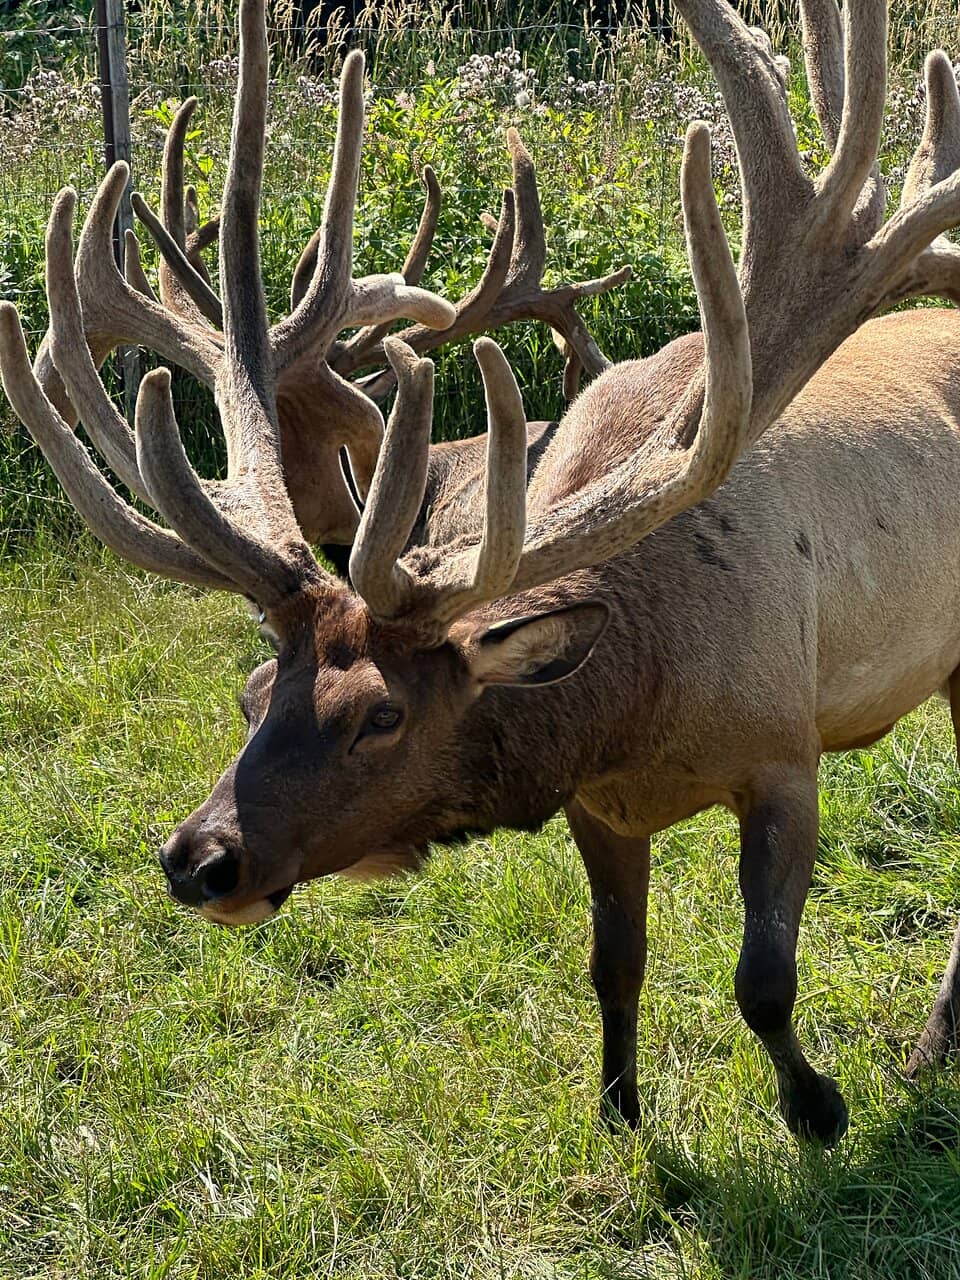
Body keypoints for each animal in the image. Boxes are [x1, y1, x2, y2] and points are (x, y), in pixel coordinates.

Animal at [4, 0, 960, 1148]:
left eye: (381, 714)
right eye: (250, 692)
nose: (196, 857)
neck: (639, 700)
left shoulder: (785, 749)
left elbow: (763, 978)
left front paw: (818, 1106)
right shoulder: (601, 805)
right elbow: (613, 963)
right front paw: (620, 1109)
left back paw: (928, 1049)